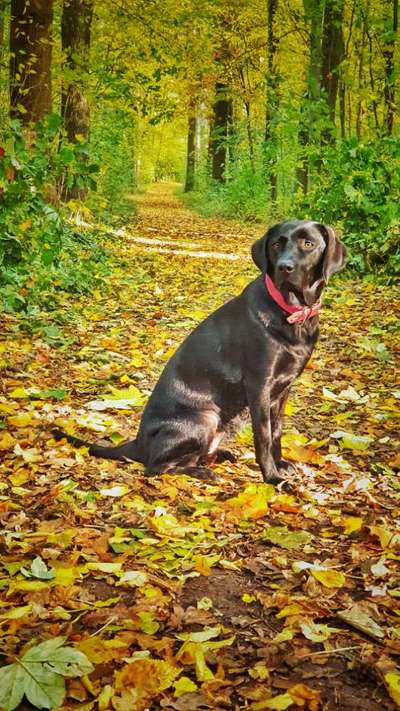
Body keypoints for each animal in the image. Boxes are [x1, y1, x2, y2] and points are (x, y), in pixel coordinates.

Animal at [54, 222, 346, 484]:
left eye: (308, 243)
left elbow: (277, 431)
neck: (291, 312)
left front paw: (281, 463)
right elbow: (263, 435)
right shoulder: (259, 386)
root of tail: (137, 443)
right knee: (156, 467)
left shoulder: (284, 388)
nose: (285, 266)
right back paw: (202, 472)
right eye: (276, 244)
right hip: (205, 417)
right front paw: (271, 477)